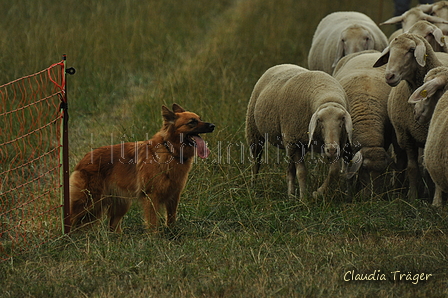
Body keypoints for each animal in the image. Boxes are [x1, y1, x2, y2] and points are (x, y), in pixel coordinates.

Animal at [69, 103, 215, 232]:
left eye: (200, 119)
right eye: (192, 122)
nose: (213, 126)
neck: (169, 150)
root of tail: (83, 160)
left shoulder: (174, 196)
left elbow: (171, 219)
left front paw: (172, 234)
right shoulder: (152, 197)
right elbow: (153, 223)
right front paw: (154, 240)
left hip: (120, 205)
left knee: (112, 227)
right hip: (87, 203)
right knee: (71, 220)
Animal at [245, 64, 354, 199]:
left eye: (341, 122)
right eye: (320, 121)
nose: (332, 149)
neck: (327, 98)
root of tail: (281, 65)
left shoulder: (337, 144)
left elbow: (334, 170)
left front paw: (317, 193)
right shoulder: (295, 142)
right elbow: (302, 172)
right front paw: (304, 198)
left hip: (291, 143)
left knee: (290, 169)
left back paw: (291, 195)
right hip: (255, 131)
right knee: (256, 161)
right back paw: (253, 187)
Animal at [332, 51, 396, 198]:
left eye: (383, 170)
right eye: (364, 168)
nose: (374, 196)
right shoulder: (347, 146)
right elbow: (349, 170)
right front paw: (350, 192)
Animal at [372, 32, 442, 199]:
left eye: (411, 50)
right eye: (390, 51)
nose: (389, 76)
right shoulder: (406, 135)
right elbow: (412, 168)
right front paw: (412, 196)